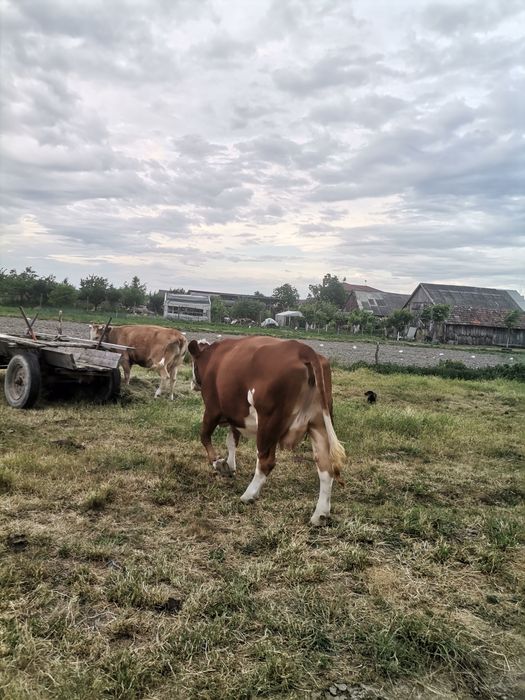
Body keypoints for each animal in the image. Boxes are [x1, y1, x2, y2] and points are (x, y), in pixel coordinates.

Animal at [188, 336, 346, 526]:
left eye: (193, 362)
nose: (192, 383)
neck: (213, 357)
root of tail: (304, 350)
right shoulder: (235, 416)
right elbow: (231, 441)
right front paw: (230, 465)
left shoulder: (212, 409)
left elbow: (204, 436)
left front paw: (218, 463)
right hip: (319, 423)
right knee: (325, 467)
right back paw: (320, 515)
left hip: (269, 421)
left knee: (265, 461)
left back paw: (249, 494)